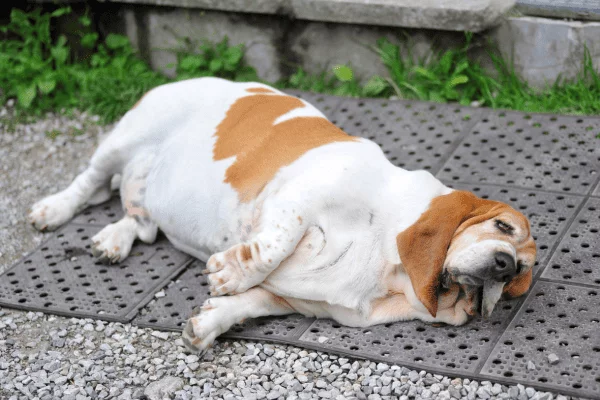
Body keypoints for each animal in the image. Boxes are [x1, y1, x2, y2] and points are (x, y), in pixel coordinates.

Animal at [27, 77, 536, 354]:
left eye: (519, 276)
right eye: (502, 227)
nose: (504, 264)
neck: (388, 268)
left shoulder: (296, 301)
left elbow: (249, 303)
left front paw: (207, 325)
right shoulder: (297, 200)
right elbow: (272, 247)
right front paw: (228, 272)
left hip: (140, 195)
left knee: (139, 219)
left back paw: (114, 240)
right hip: (122, 142)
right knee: (89, 184)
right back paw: (52, 209)